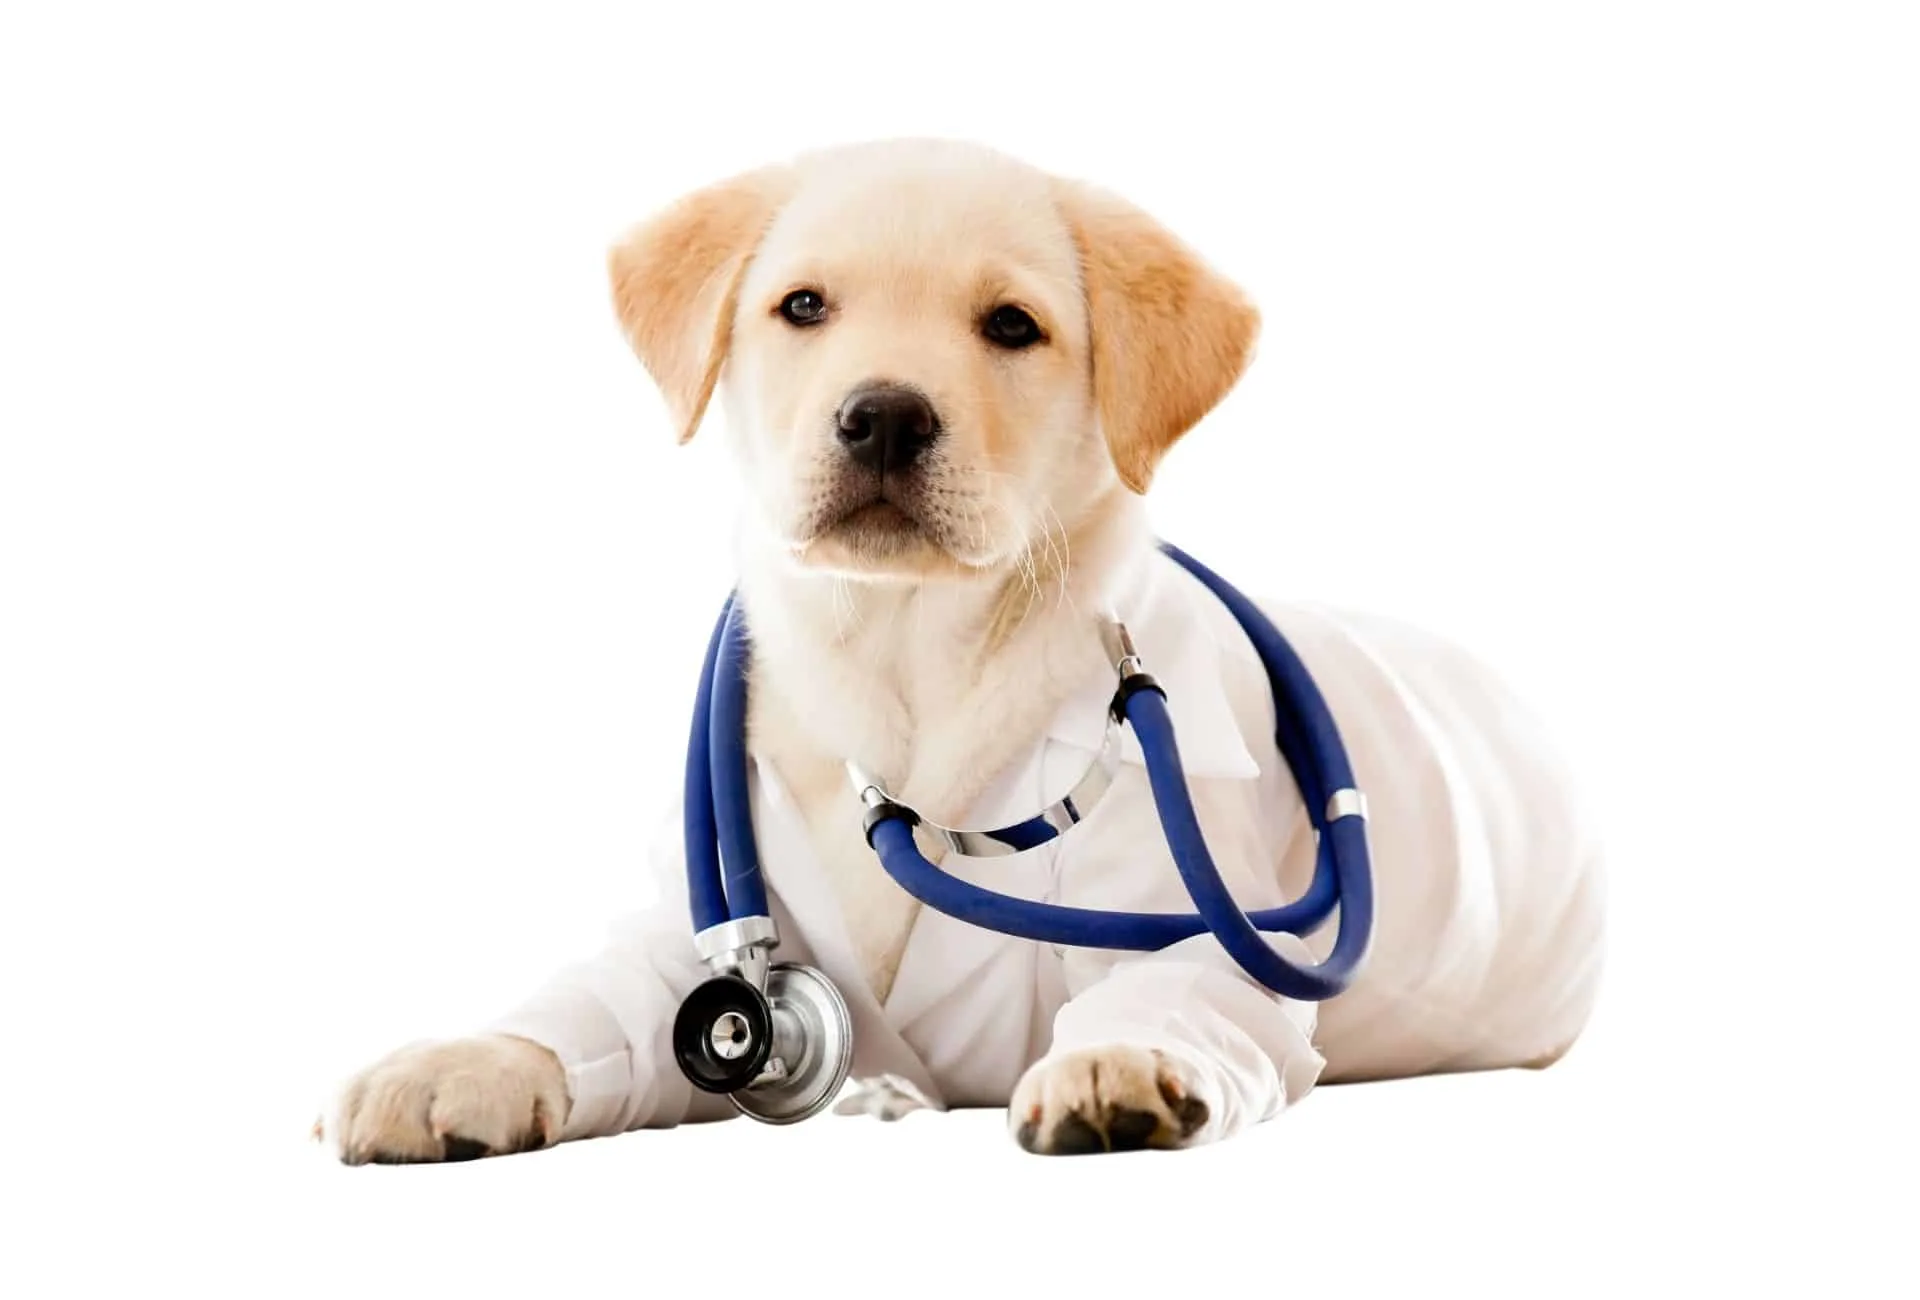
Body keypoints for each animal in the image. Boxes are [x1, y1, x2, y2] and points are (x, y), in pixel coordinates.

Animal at [318, 137, 1605, 1159]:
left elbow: (1181, 984)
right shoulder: (679, 937)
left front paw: (1115, 1062)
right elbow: (603, 1000)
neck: (903, 657)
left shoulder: (1203, 931)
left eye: (1011, 327)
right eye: (803, 307)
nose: (884, 414)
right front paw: (462, 1060)